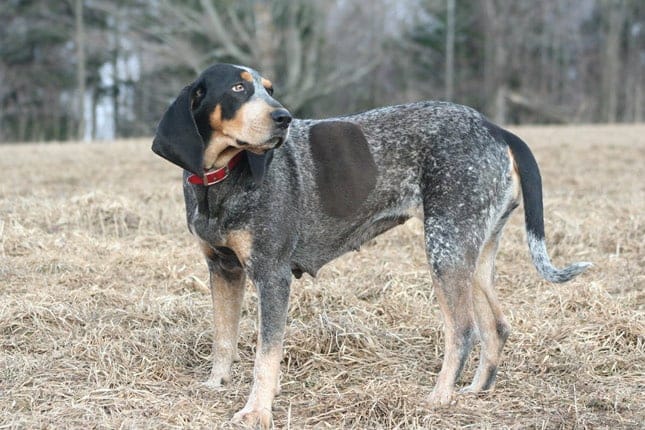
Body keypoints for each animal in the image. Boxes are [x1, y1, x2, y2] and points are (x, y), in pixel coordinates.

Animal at [152, 63, 588, 426]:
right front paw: (215, 385)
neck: (218, 180)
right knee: (495, 327)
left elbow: (266, 355)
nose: (284, 118)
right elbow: (223, 337)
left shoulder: (272, 276)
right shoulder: (223, 269)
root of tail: (496, 128)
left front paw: (256, 412)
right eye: (239, 88)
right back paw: (474, 392)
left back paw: (439, 399)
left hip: (445, 247)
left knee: (462, 330)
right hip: (473, 253)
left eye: (269, 89)